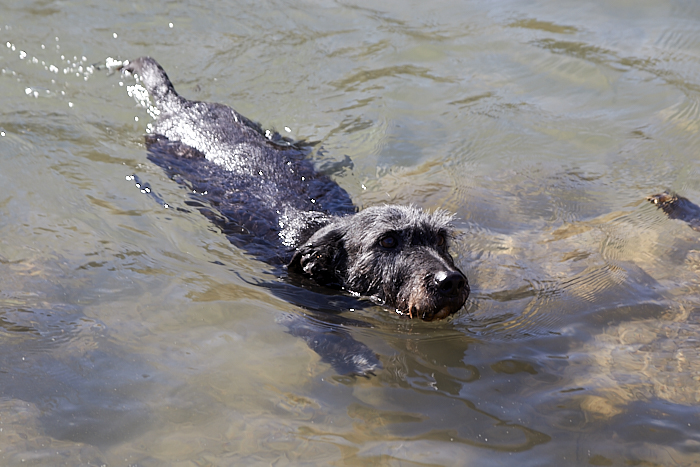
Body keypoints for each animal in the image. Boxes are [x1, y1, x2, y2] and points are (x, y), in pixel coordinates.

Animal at [120, 57, 470, 372]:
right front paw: (355, 358)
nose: (450, 281)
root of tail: (180, 105)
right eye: (386, 241)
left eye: (441, 238)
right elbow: (320, 328)